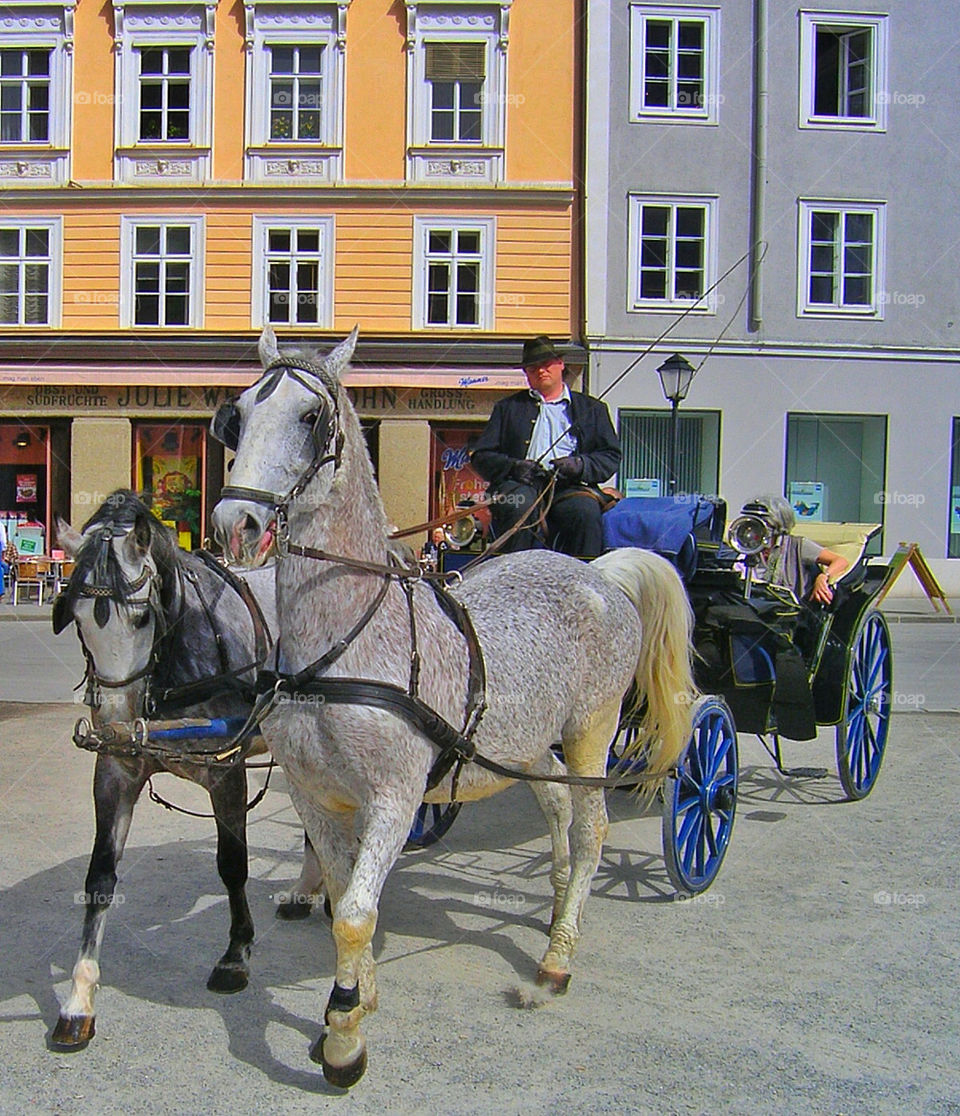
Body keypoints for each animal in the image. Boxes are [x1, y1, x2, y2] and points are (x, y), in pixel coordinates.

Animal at [49, 491, 324, 1049]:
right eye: (81, 620)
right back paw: (309, 888)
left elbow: (232, 865)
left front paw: (236, 954)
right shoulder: (115, 772)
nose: (114, 724)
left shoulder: (226, 772)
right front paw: (79, 998)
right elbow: (100, 876)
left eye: (143, 617)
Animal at [211, 328, 696, 1088]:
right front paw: (360, 993)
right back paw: (558, 897)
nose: (236, 520)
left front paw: (344, 1035)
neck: (346, 643)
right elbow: (345, 895)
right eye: (236, 415)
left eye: (311, 417)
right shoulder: (317, 794)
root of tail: (598, 572)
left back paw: (558, 955)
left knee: (592, 827)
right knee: (556, 807)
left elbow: (353, 914)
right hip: (524, 742)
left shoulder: (393, 796)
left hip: (591, 731)